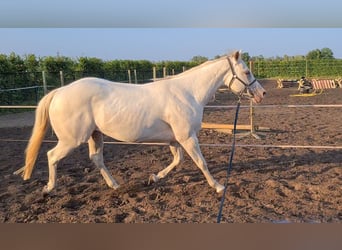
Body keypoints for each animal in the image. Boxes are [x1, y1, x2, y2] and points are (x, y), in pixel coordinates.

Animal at [14, 51, 266, 193]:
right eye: (246, 71)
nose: (261, 94)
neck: (187, 93)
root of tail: (59, 91)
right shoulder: (187, 137)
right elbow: (200, 162)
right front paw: (219, 186)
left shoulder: (175, 139)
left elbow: (178, 161)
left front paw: (153, 178)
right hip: (72, 140)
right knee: (51, 156)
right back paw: (49, 189)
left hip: (96, 135)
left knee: (96, 159)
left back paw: (115, 185)